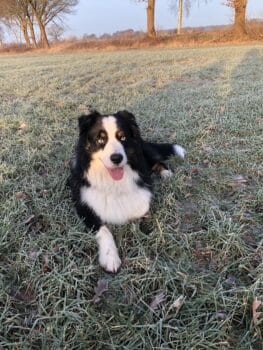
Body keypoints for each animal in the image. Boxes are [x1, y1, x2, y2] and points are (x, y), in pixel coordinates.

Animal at [70, 110, 186, 272]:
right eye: (100, 139)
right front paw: (110, 258)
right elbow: (104, 230)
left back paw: (166, 173)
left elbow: (140, 211)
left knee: (157, 161)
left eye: (123, 137)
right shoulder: (84, 206)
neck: (112, 182)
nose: (116, 158)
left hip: (143, 152)